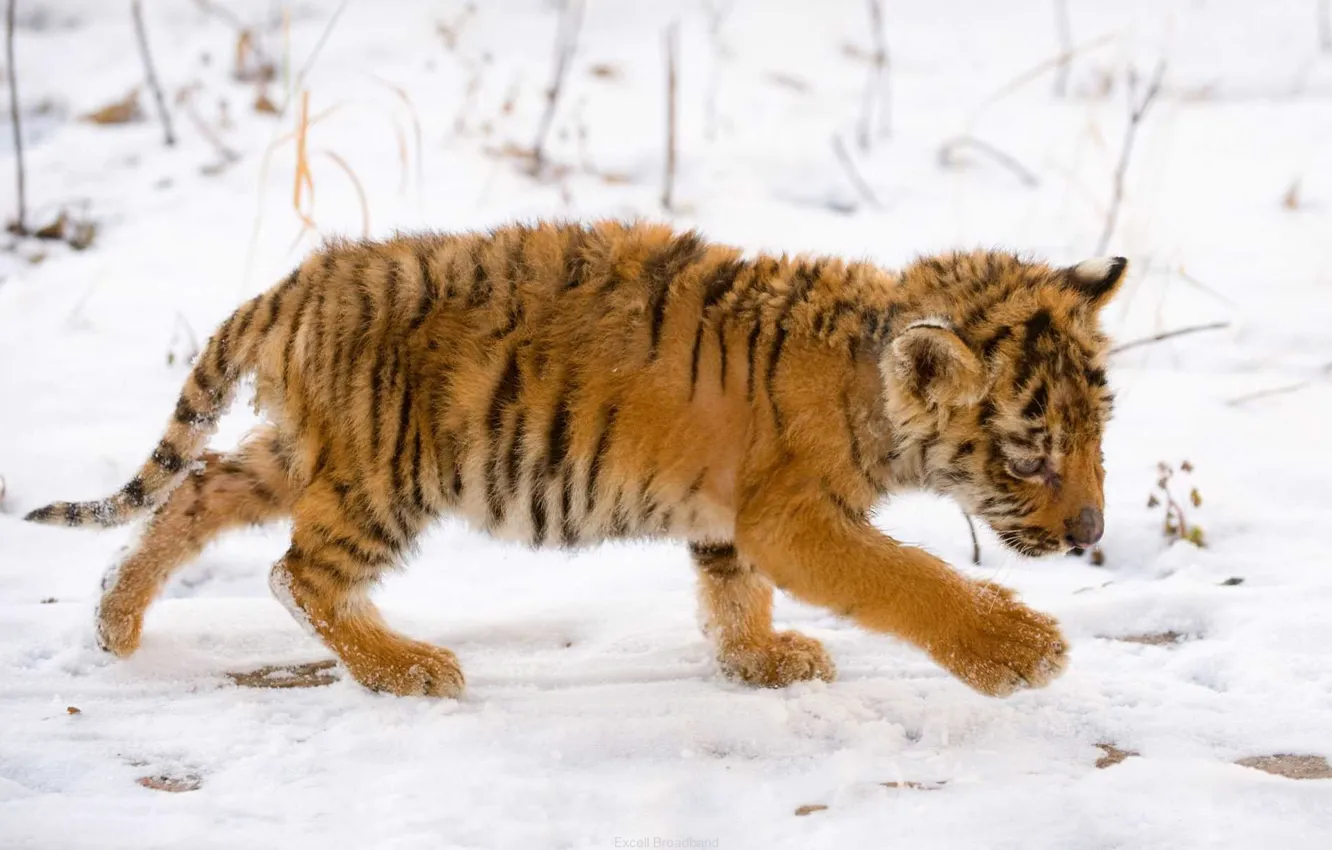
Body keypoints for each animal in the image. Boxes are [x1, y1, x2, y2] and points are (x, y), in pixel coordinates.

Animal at [24, 220, 1124, 700]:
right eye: (1033, 455)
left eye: (1099, 433)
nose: (1092, 532)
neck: (870, 371)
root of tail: (296, 285)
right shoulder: (797, 517)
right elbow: (910, 577)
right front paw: (1021, 651)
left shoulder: (733, 521)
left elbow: (733, 593)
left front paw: (760, 661)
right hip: (383, 475)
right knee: (298, 572)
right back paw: (407, 667)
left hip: (304, 452)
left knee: (196, 491)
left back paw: (115, 622)